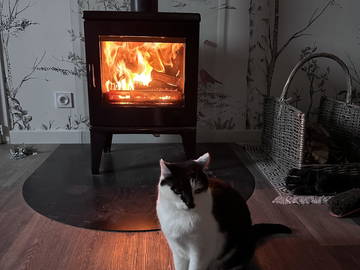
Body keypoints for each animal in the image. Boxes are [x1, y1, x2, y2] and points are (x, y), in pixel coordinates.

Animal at [156, 153, 292, 268]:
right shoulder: (178, 251)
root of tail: (250, 231)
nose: (190, 204)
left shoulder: (201, 253)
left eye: (198, 190)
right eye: (178, 191)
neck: (180, 216)